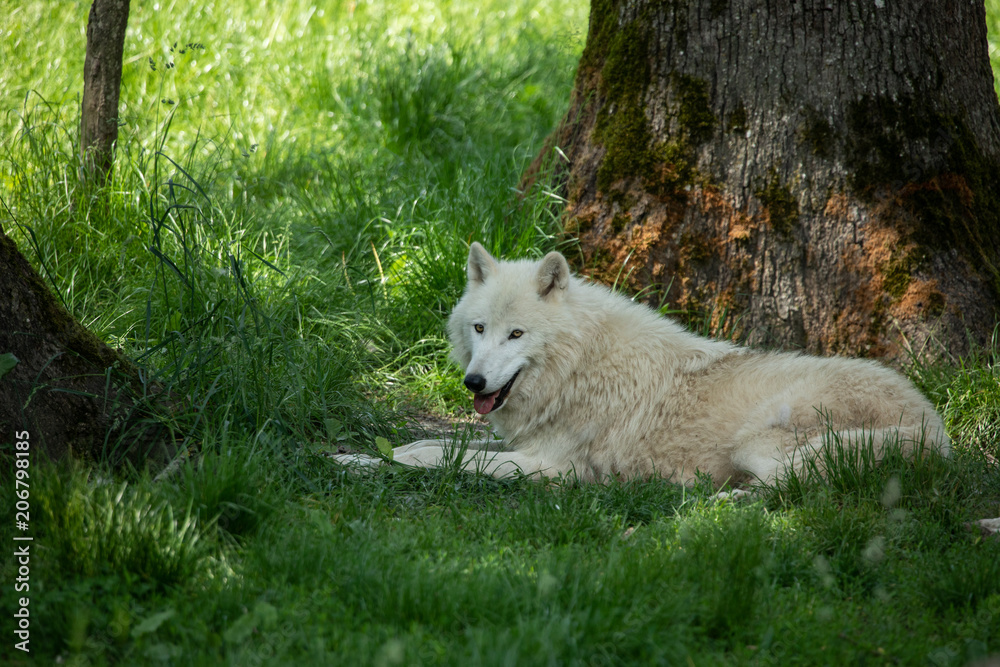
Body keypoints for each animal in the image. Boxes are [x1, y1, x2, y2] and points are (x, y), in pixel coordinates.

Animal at [335, 243, 950, 488]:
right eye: (480, 329)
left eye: (517, 335)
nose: (474, 382)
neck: (581, 364)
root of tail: (938, 429)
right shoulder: (520, 441)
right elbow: (429, 444)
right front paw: (359, 455)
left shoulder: (551, 468)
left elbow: (445, 460)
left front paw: (364, 463)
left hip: (761, 443)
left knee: (797, 488)